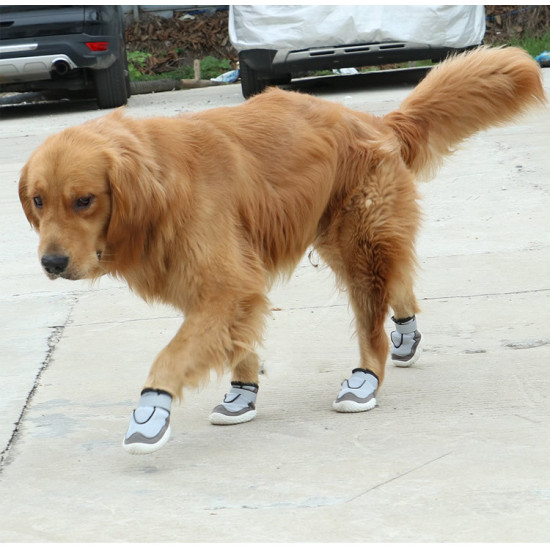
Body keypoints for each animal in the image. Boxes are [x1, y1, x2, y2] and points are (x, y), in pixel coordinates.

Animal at [19, 46, 544, 452]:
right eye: (38, 201)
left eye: (84, 200)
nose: (52, 263)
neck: (163, 187)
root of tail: (376, 121)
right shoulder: (230, 288)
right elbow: (237, 344)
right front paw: (241, 395)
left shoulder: (226, 284)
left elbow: (171, 355)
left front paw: (151, 412)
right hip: (342, 241)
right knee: (400, 287)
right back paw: (406, 338)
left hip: (358, 248)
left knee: (372, 325)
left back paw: (365, 379)